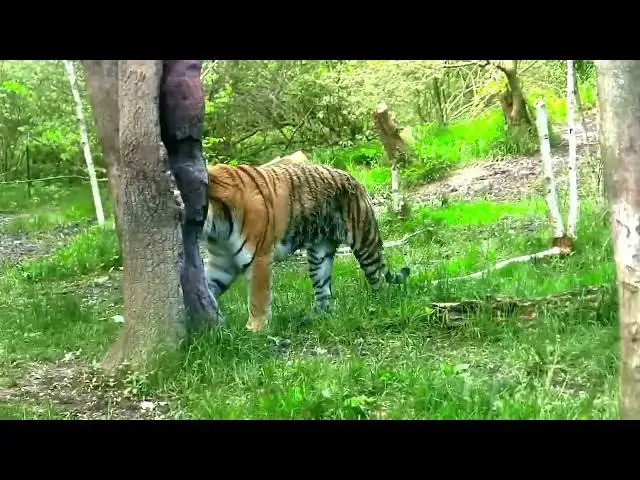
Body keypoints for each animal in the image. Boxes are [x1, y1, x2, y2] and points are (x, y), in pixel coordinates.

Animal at [203, 159, 411, 332]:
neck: (217, 229)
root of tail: (354, 178)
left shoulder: (258, 259)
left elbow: (258, 299)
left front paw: (255, 330)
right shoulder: (222, 262)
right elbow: (208, 285)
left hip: (365, 243)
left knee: (378, 278)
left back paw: (379, 305)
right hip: (319, 256)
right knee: (324, 292)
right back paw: (314, 318)